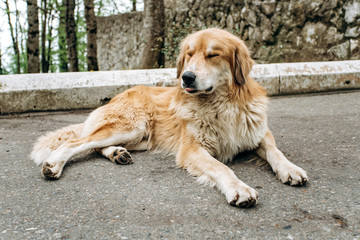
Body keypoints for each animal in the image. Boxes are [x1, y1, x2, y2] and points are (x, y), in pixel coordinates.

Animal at [31, 28, 308, 207]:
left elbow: (275, 151)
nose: (186, 77)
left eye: (213, 55)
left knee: (95, 147)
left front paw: (291, 169)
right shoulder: (192, 149)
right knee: (77, 143)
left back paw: (117, 154)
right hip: (131, 126)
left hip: (140, 137)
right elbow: (221, 167)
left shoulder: (259, 132)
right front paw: (239, 188)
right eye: (189, 54)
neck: (222, 104)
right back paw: (54, 165)